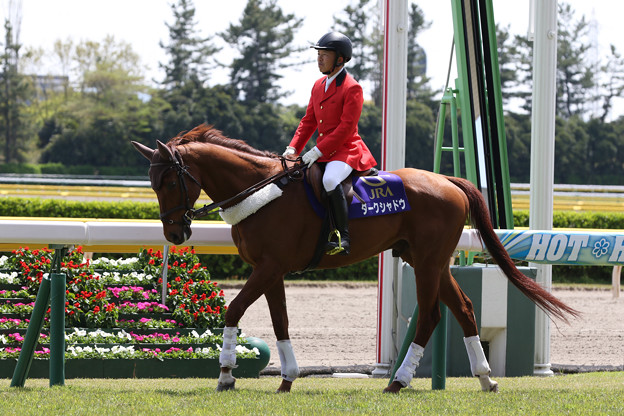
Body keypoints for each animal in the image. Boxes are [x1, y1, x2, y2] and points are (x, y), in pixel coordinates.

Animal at [133, 122, 580, 394]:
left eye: (169, 181)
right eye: (151, 183)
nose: (174, 233)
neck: (263, 191)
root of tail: (448, 181)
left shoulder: (269, 267)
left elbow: (234, 310)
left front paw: (226, 373)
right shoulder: (271, 270)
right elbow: (280, 322)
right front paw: (287, 379)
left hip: (428, 263)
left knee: (431, 315)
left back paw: (398, 381)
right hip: (430, 262)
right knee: (466, 308)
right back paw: (485, 379)